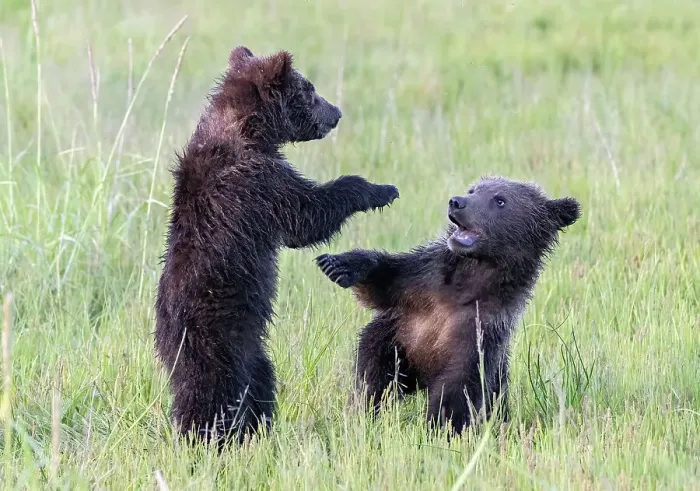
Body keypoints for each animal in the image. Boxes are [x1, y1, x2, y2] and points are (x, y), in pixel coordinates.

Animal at [154, 45, 400, 446]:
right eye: (310, 90)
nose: (336, 112)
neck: (248, 129)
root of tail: (167, 338)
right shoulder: (258, 184)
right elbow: (306, 216)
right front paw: (380, 189)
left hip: (251, 352)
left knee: (260, 383)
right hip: (220, 339)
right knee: (215, 392)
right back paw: (207, 436)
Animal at [315, 176, 580, 434]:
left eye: (500, 200)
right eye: (474, 189)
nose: (457, 202)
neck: (469, 282)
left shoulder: (480, 328)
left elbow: (458, 387)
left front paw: (439, 428)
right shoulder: (424, 280)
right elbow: (385, 282)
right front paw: (339, 264)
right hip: (392, 342)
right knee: (374, 376)